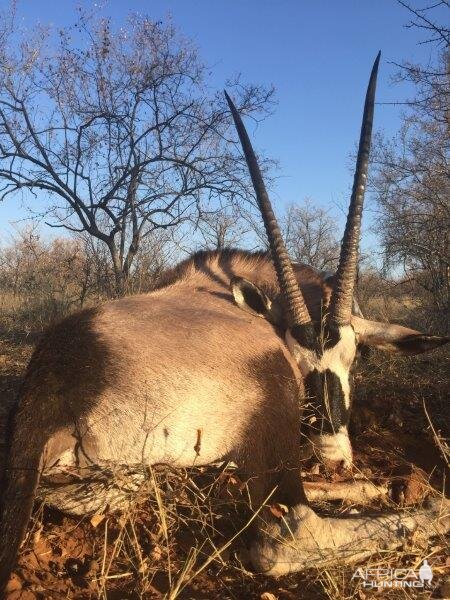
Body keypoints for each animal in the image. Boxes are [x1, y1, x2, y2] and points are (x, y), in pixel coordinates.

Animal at [0, 54, 448, 588]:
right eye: (298, 361)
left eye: (353, 355)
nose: (334, 458)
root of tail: (50, 391)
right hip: (265, 415)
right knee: (286, 534)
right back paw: (428, 508)